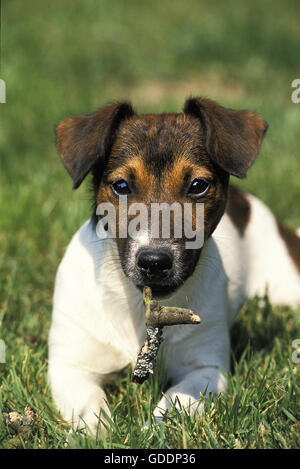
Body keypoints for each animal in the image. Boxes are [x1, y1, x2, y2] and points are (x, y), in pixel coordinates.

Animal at [48, 97, 300, 434]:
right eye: (121, 186)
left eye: (198, 185)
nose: (154, 262)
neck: (136, 306)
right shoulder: (70, 366)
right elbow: (89, 406)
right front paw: (96, 434)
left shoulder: (205, 369)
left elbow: (176, 400)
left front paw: (151, 431)